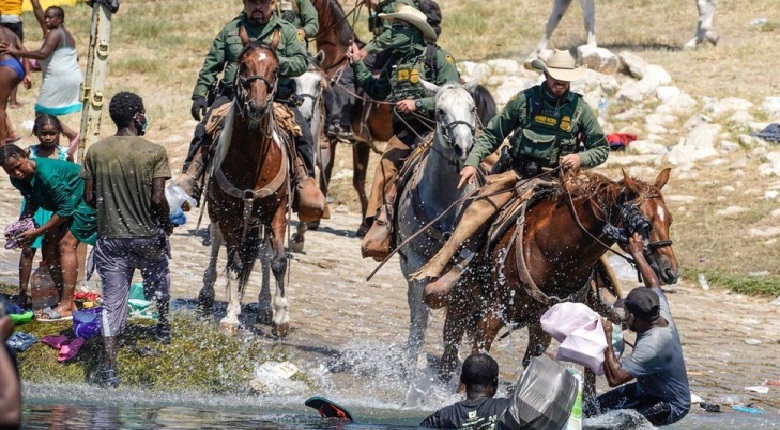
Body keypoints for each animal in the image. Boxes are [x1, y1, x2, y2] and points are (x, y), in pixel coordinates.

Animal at [197, 40, 290, 336]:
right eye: (243, 65)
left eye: (276, 68)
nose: (257, 107)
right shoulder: (228, 213)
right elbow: (235, 262)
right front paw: (231, 315)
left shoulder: (277, 210)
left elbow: (278, 261)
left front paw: (281, 316)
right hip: (218, 212)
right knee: (217, 243)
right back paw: (207, 294)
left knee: (263, 254)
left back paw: (264, 306)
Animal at [396, 80, 482, 366]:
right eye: (440, 111)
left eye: (472, 107)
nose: (463, 148)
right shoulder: (417, 260)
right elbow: (421, 311)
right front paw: (413, 360)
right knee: (415, 305)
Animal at [438, 169, 676, 380]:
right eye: (646, 223)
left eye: (669, 220)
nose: (670, 270)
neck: (554, 251)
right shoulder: (493, 314)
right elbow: (477, 358)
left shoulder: (541, 326)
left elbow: (530, 363)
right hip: (460, 300)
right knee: (449, 350)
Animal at [532, 0, 720, 58]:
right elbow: (552, 21)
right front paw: (537, 52)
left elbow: (587, 20)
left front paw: (591, 49)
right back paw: (695, 42)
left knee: (707, 5)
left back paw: (709, 35)